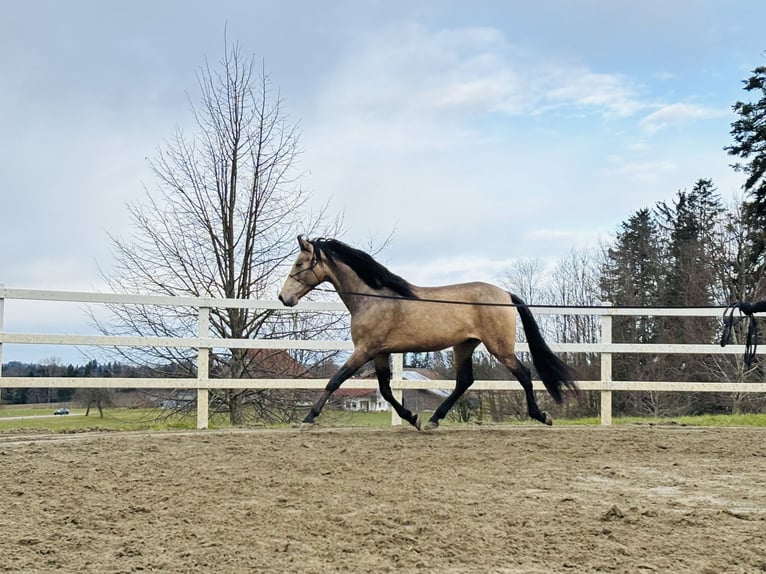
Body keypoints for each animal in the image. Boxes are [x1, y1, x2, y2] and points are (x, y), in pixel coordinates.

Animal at [280, 236, 580, 430]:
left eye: (299, 264)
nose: (284, 298)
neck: (373, 298)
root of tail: (505, 294)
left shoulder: (364, 350)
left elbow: (335, 381)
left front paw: (308, 418)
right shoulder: (379, 353)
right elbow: (386, 391)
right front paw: (413, 418)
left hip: (499, 347)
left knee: (524, 375)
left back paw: (541, 416)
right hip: (465, 345)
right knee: (464, 382)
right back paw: (434, 419)